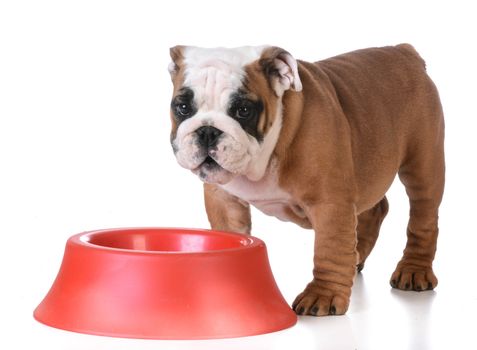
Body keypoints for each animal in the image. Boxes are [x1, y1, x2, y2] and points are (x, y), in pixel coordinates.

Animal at [166, 44, 442, 318]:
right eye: (182, 107)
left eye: (244, 110)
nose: (207, 130)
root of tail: (403, 51)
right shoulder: (223, 199)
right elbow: (230, 231)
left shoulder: (330, 204)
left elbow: (329, 249)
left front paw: (324, 294)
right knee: (374, 210)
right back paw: (356, 257)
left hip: (423, 167)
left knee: (423, 219)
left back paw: (414, 270)